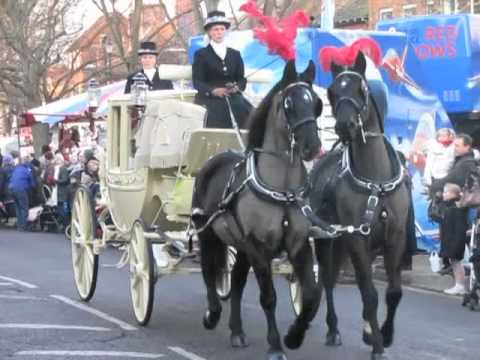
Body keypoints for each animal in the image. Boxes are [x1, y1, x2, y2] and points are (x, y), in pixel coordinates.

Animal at [193, 60, 324, 358]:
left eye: (317, 103)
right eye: (289, 103)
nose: (312, 147)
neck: (283, 191)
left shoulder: (298, 245)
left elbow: (311, 295)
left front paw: (294, 335)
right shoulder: (258, 247)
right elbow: (268, 297)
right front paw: (275, 345)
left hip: (240, 246)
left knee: (237, 282)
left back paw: (236, 331)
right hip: (208, 235)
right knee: (208, 272)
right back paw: (211, 315)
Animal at [310, 51, 410, 360]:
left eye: (361, 89)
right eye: (332, 92)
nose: (345, 127)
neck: (375, 180)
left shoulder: (394, 238)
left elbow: (393, 292)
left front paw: (384, 335)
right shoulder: (357, 239)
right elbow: (369, 294)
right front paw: (377, 344)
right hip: (329, 240)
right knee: (327, 281)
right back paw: (333, 329)